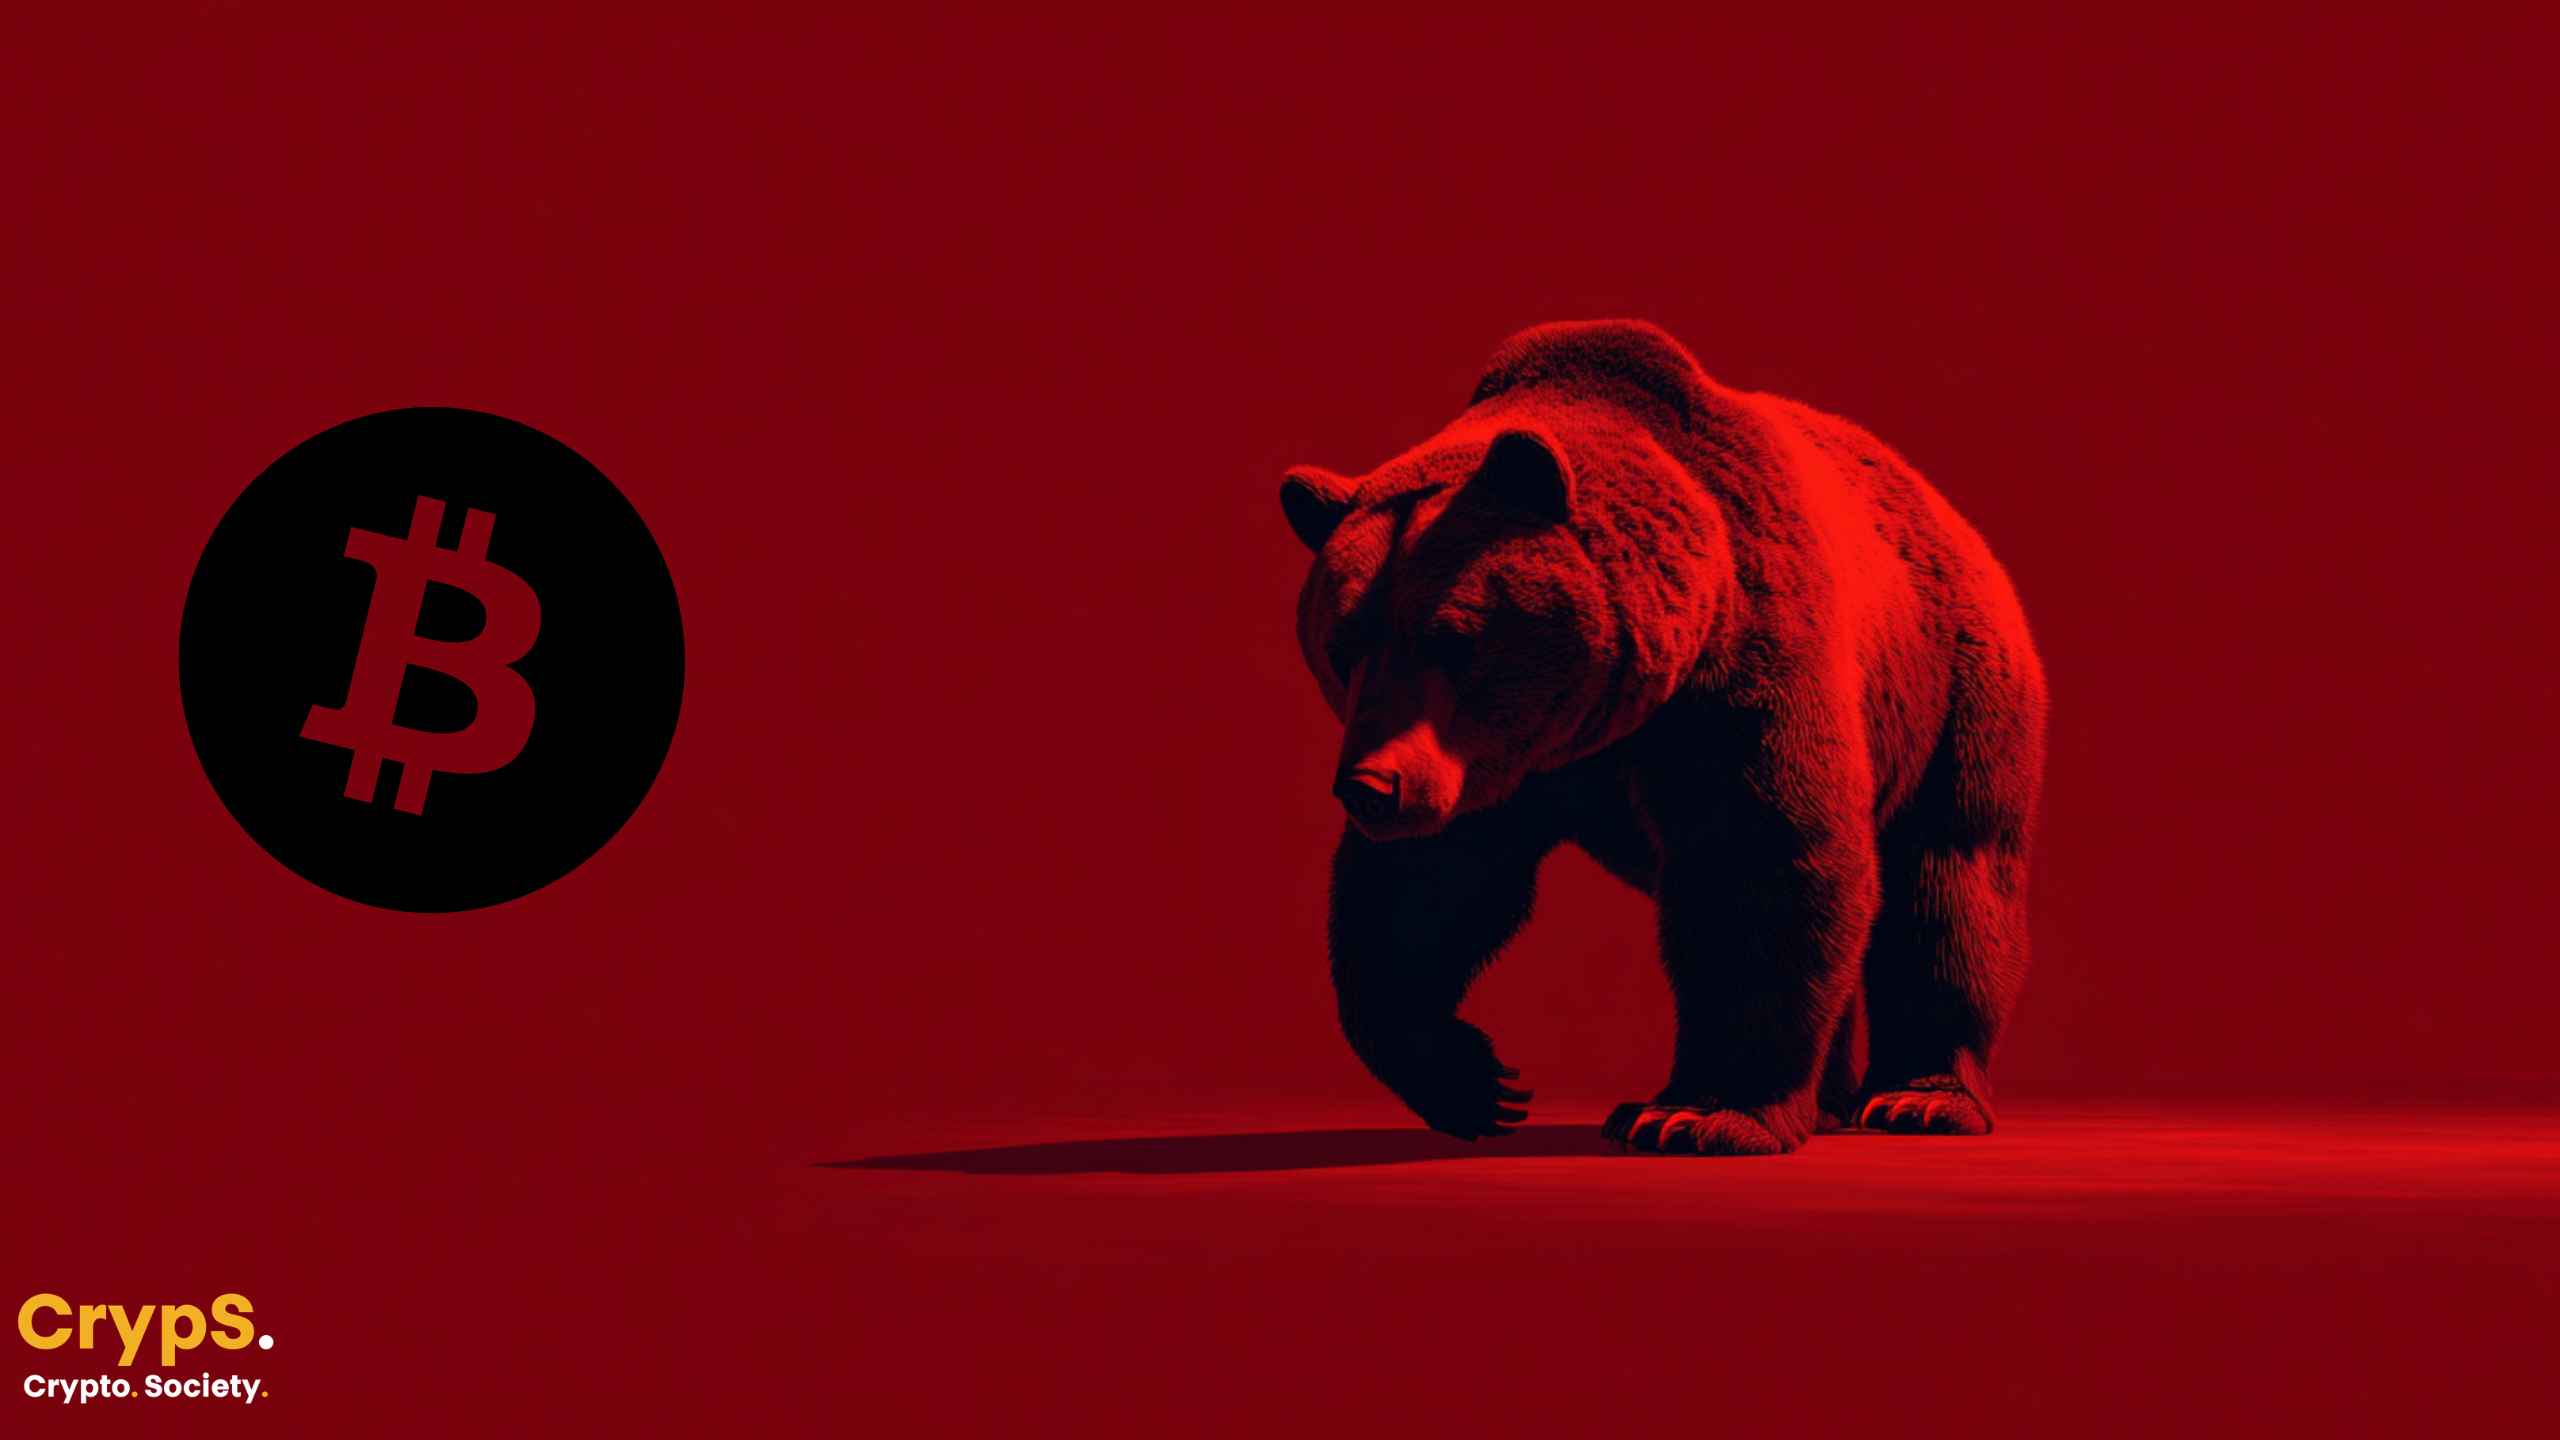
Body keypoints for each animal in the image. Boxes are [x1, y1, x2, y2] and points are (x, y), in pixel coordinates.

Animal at [1277, 319, 2046, 1155]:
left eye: (1452, 638)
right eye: (1342, 645)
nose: (1371, 787)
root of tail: (1949, 513)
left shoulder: (1741, 668)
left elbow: (1758, 863)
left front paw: (1696, 1114)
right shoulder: (1494, 764)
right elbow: (1423, 888)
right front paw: (1475, 1083)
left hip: (1953, 688)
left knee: (1946, 880)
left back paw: (1920, 1098)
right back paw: (1831, 1100)